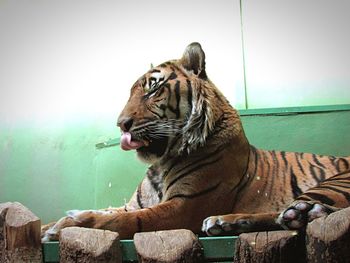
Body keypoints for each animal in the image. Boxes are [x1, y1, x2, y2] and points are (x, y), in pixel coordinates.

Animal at [41, 42, 350, 242]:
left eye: (153, 88)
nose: (121, 124)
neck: (161, 162)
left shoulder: (185, 205)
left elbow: (123, 221)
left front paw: (70, 223)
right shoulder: (133, 205)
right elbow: (113, 211)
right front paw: (46, 225)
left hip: (335, 182)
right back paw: (227, 223)